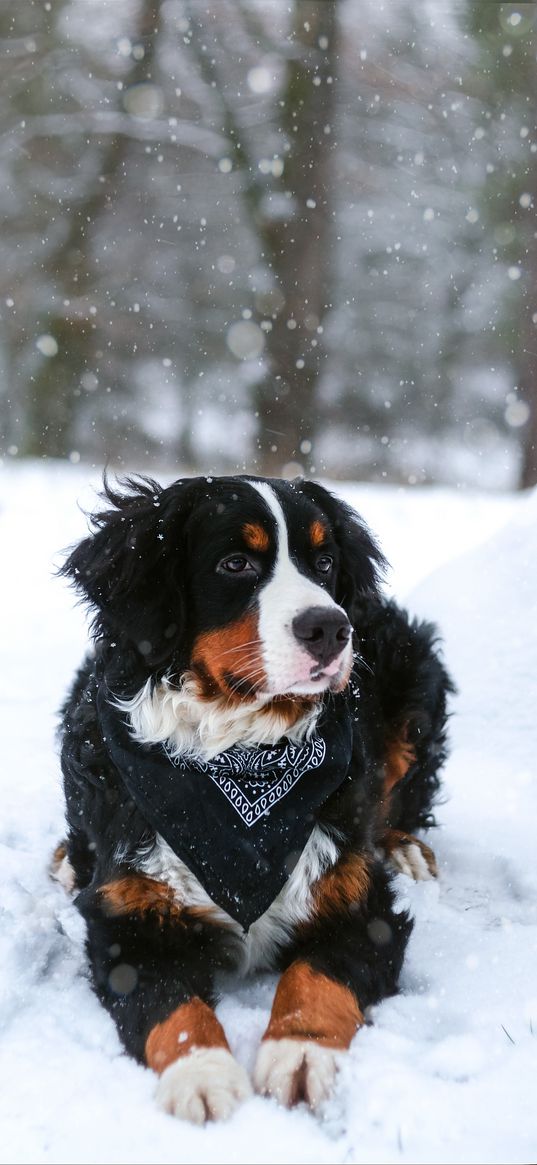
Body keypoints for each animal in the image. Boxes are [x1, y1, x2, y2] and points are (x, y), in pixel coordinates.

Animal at [51, 477, 451, 1123]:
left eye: (324, 562)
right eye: (235, 563)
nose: (330, 627)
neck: (243, 752)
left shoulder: (360, 901)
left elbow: (317, 975)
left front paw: (301, 1054)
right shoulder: (128, 919)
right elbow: (171, 1006)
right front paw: (202, 1075)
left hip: (414, 676)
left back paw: (405, 847)